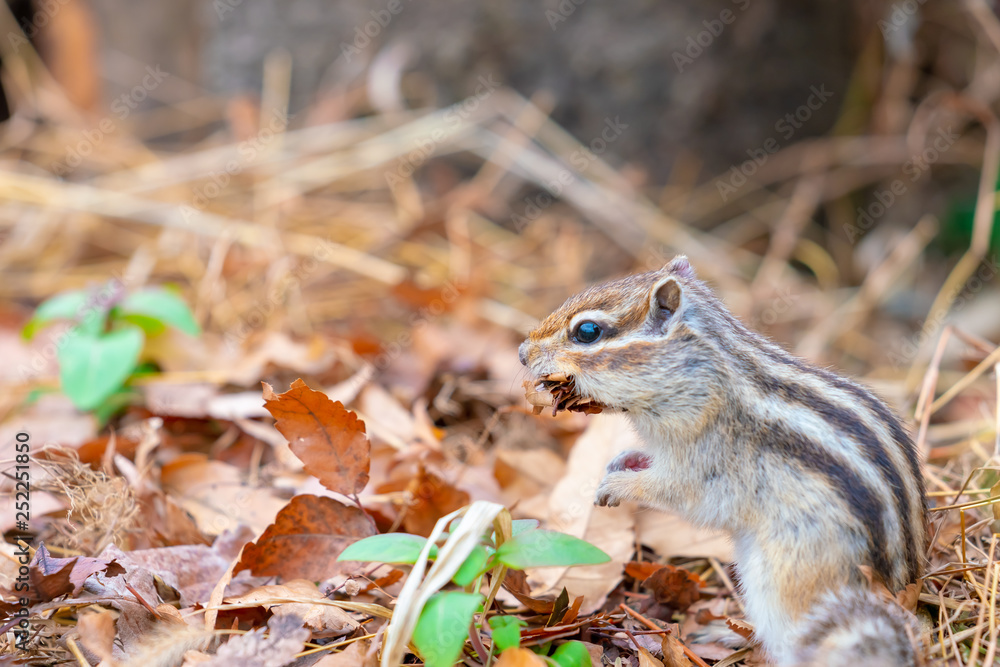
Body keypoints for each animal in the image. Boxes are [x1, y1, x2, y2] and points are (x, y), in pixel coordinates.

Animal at [518, 256, 927, 666]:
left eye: (587, 331)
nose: (522, 352)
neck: (706, 376)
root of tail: (896, 591)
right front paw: (623, 459)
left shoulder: (702, 464)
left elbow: (673, 491)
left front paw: (616, 485)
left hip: (783, 583)